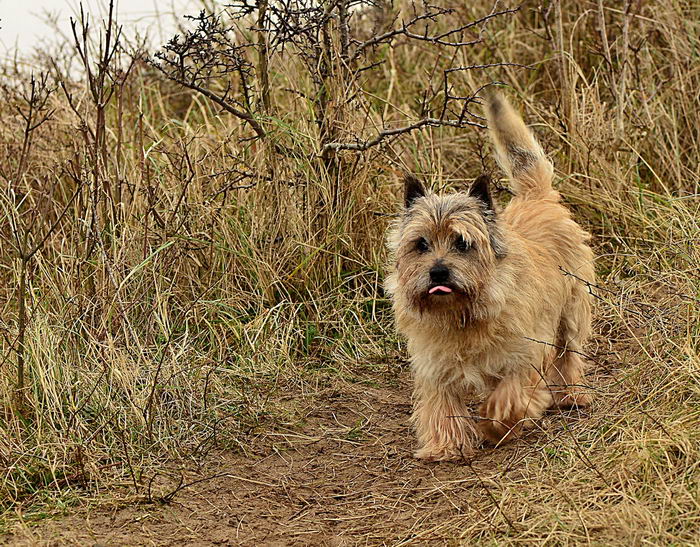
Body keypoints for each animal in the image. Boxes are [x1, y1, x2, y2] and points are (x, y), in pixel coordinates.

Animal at [386, 91, 592, 462]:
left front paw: (494, 424)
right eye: (421, 244)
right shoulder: (434, 367)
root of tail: (536, 197)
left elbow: (508, 396)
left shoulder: (523, 357)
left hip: (572, 313)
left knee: (569, 355)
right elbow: (440, 407)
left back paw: (572, 396)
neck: (463, 317)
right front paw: (445, 446)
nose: (438, 271)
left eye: (462, 242)